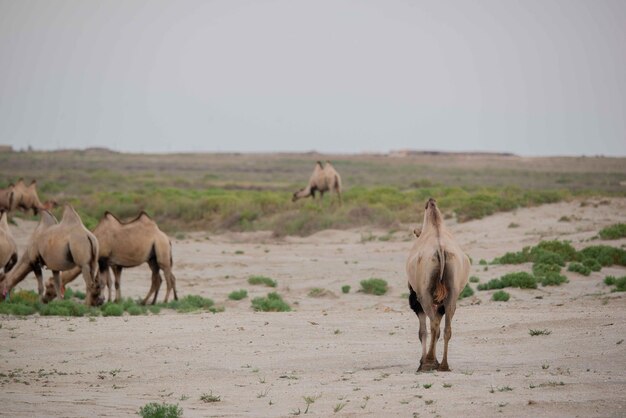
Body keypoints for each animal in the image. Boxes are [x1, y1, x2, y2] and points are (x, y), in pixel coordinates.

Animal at [41, 212, 178, 304]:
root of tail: (167, 238)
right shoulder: (111, 262)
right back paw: (148, 302)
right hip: (152, 259)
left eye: (49, 286)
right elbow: (113, 282)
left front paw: (104, 300)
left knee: (167, 278)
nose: (44, 299)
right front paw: (114, 300)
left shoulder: (103, 260)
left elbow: (104, 282)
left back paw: (164, 301)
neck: (96, 239)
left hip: (162, 252)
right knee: (157, 279)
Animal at [404, 198, 468, 372]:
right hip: (452, 293)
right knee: (446, 328)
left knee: (432, 325)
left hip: (424, 295)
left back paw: (428, 363)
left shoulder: (416, 298)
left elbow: (422, 331)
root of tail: (440, 249)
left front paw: (422, 362)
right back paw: (444, 365)